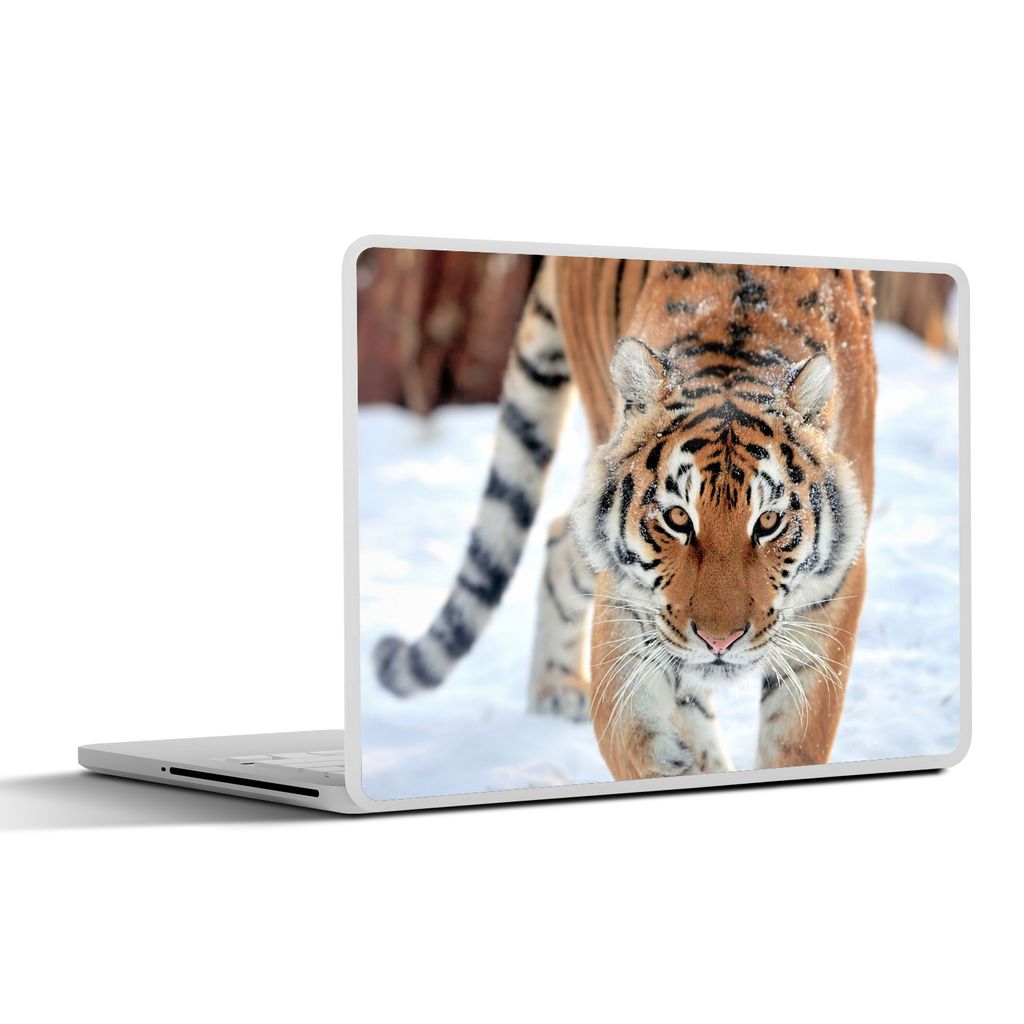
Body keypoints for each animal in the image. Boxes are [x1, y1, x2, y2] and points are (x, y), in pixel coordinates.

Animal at [374, 256, 876, 780]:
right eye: (677, 518)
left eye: (767, 523)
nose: (719, 642)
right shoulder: (627, 602)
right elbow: (634, 733)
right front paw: (676, 762)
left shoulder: (835, 589)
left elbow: (798, 737)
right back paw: (556, 693)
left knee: (559, 535)